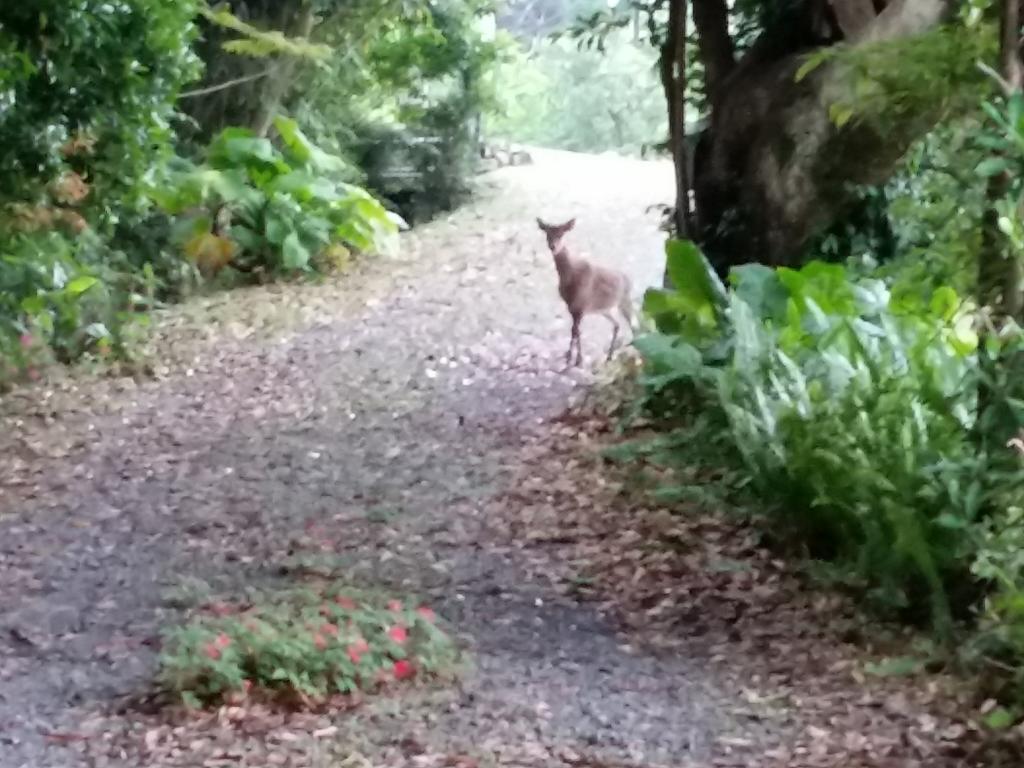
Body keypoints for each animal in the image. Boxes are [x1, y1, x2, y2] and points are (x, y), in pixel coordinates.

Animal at [536, 217, 630, 366]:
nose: (553, 247)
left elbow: (575, 331)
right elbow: (576, 331)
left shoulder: (581, 305)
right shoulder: (572, 307)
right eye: (547, 234)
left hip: (625, 301)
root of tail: (627, 279)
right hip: (605, 309)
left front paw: (575, 359)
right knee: (617, 325)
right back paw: (609, 356)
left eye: (561, 234)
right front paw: (572, 357)